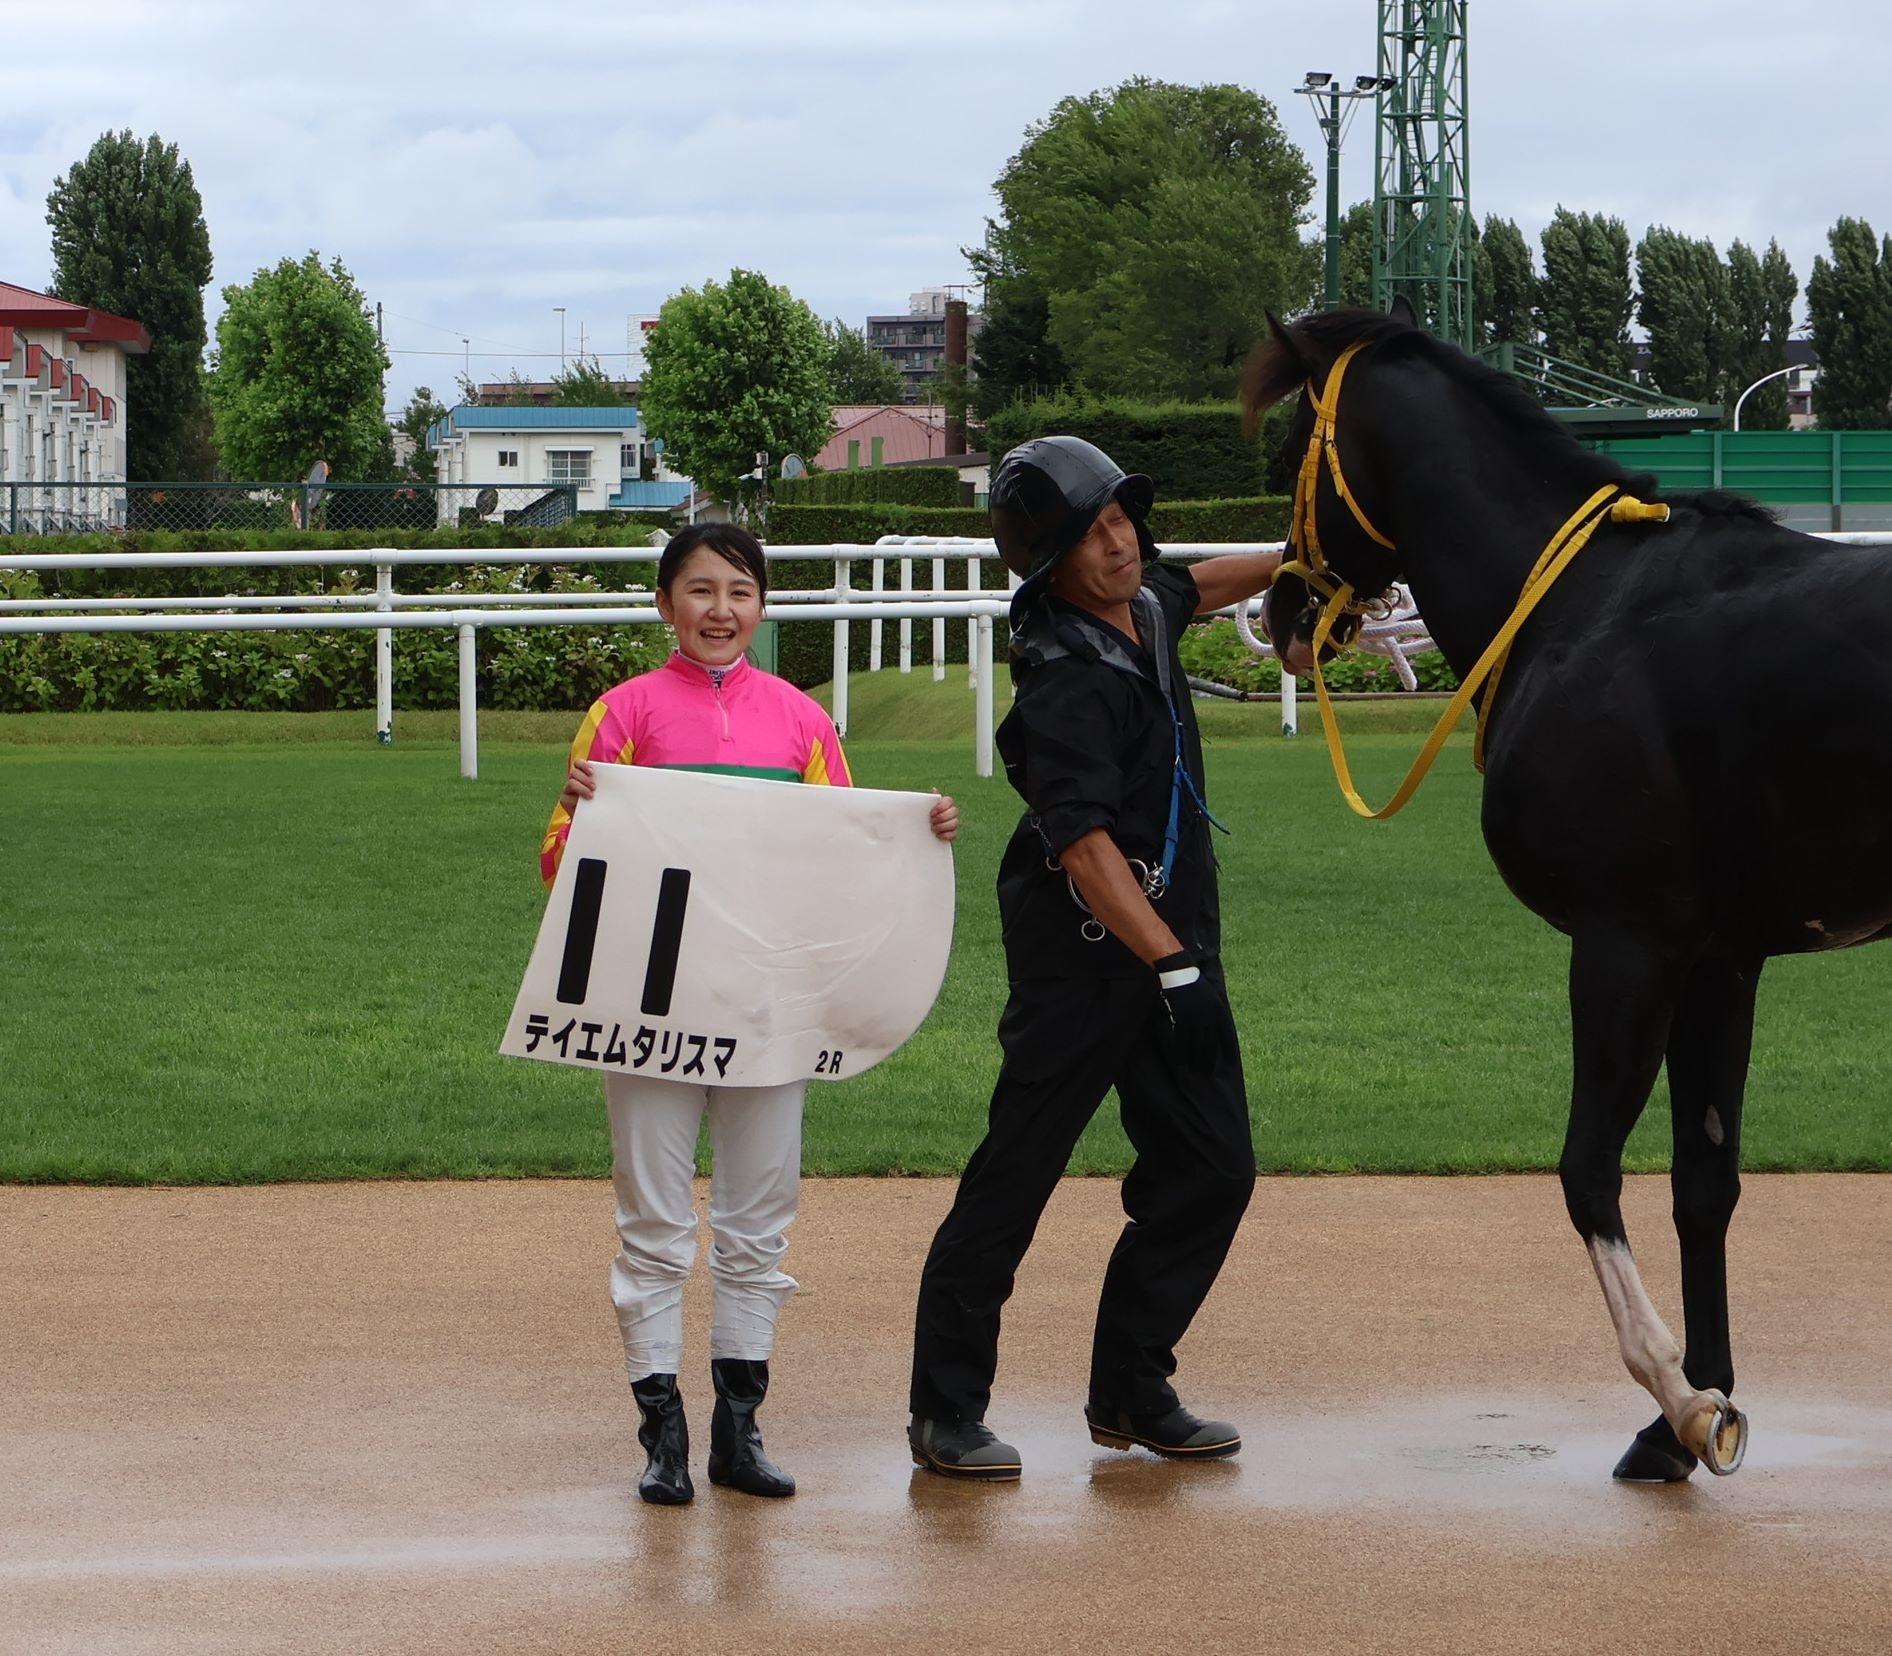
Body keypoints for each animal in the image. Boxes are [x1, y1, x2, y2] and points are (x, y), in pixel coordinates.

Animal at [1241, 304, 1892, 1483]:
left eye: (1294, 445)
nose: (1282, 605)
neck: (1585, 608)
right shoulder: (1717, 960)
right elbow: (1703, 1181)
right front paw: (1685, 1419)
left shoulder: (1624, 948)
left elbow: (1587, 1169)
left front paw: (1679, 1396)